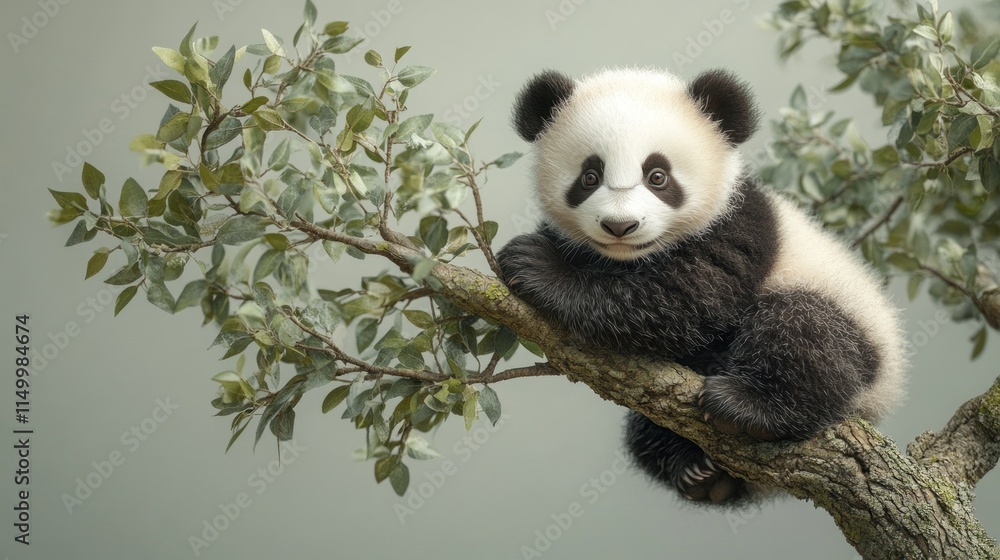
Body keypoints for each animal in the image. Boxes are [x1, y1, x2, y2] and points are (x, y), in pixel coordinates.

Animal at [496, 67, 907, 504]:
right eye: (589, 176)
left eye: (657, 176)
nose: (620, 226)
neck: (627, 258)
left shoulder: (739, 228)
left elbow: (683, 299)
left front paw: (536, 266)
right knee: (642, 435)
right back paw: (699, 473)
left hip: (854, 324)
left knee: (807, 334)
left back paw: (745, 408)